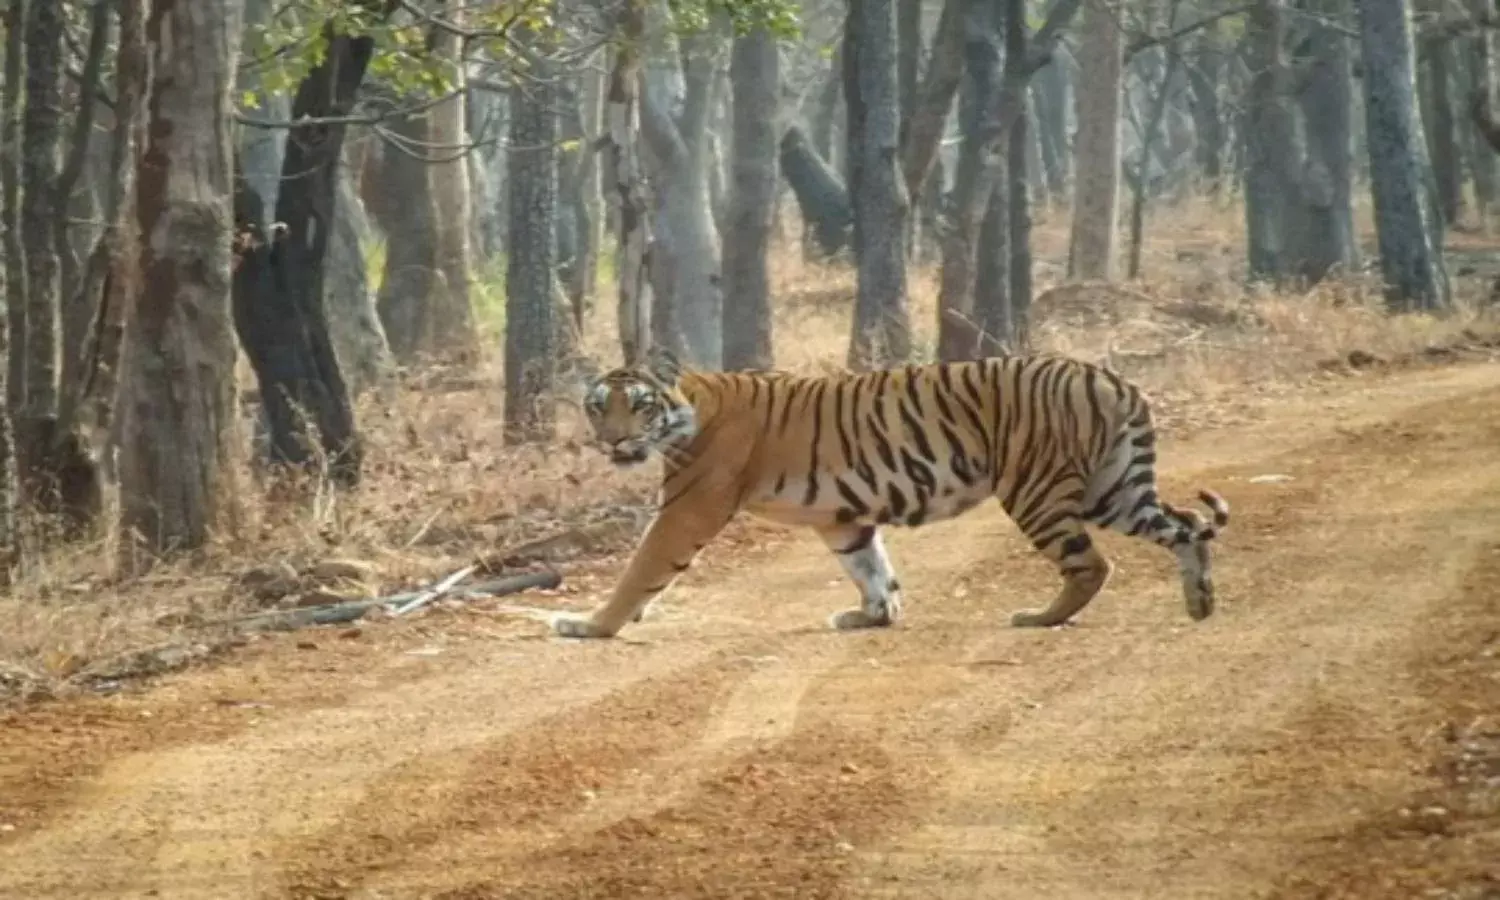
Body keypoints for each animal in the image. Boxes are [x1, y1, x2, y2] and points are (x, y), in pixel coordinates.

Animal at [550, 345, 1230, 640]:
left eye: (638, 406)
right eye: (598, 406)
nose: (612, 441)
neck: (687, 409)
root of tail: (1108, 375)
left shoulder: (690, 507)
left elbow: (640, 570)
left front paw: (589, 624)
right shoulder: (840, 517)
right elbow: (870, 567)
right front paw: (871, 616)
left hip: (1038, 489)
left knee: (1091, 564)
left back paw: (1039, 618)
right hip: (1112, 488)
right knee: (1184, 528)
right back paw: (1201, 600)